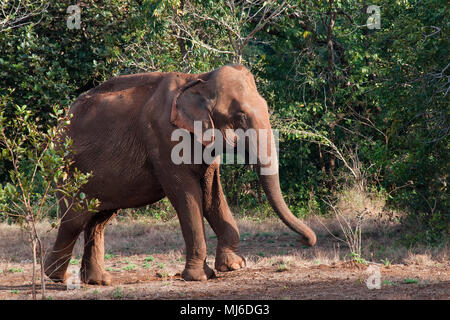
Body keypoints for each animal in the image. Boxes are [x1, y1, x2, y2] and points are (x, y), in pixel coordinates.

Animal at [44, 63, 314, 284]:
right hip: (70, 169)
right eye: (240, 117)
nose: (306, 242)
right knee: (74, 219)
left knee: (98, 219)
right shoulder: (164, 138)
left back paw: (99, 281)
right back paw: (57, 277)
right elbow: (186, 194)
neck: (198, 80)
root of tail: (58, 125)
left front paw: (233, 267)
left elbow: (211, 193)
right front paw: (200, 277)